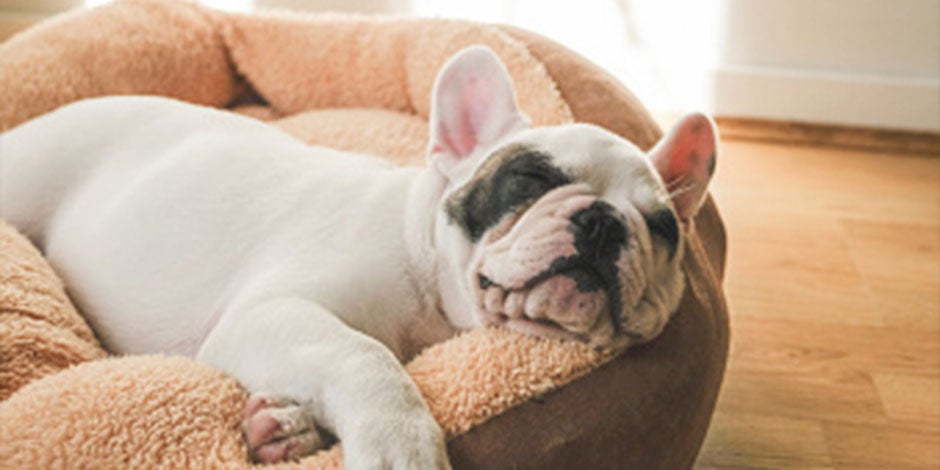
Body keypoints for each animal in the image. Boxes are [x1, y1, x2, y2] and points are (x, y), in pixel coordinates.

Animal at [1, 46, 720, 466]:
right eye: (529, 179)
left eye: (662, 227)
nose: (602, 222)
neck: (430, 290)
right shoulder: (278, 313)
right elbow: (364, 356)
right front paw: (400, 446)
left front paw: (287, 427)